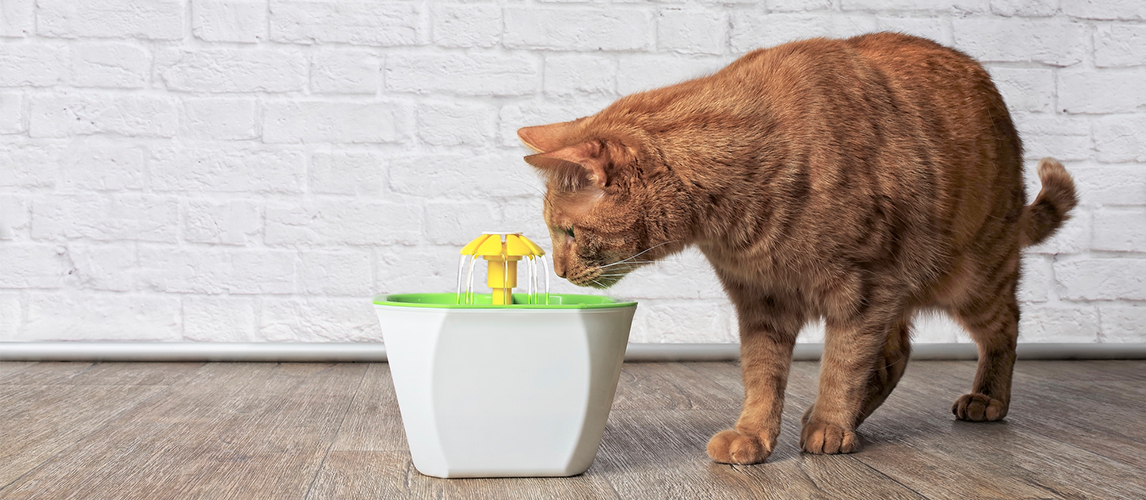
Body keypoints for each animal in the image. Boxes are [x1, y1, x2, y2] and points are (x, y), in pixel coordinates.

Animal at [517, 32, 1072, 465]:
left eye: (568, 234)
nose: (559, 272)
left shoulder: (864, 289)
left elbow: (842, 364)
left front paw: (829, 423)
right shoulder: (763, 300)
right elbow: (763, 376)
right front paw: (756, 435)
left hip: (972, 277)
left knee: (1004, 326)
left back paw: (984, 398)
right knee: (897, 353)